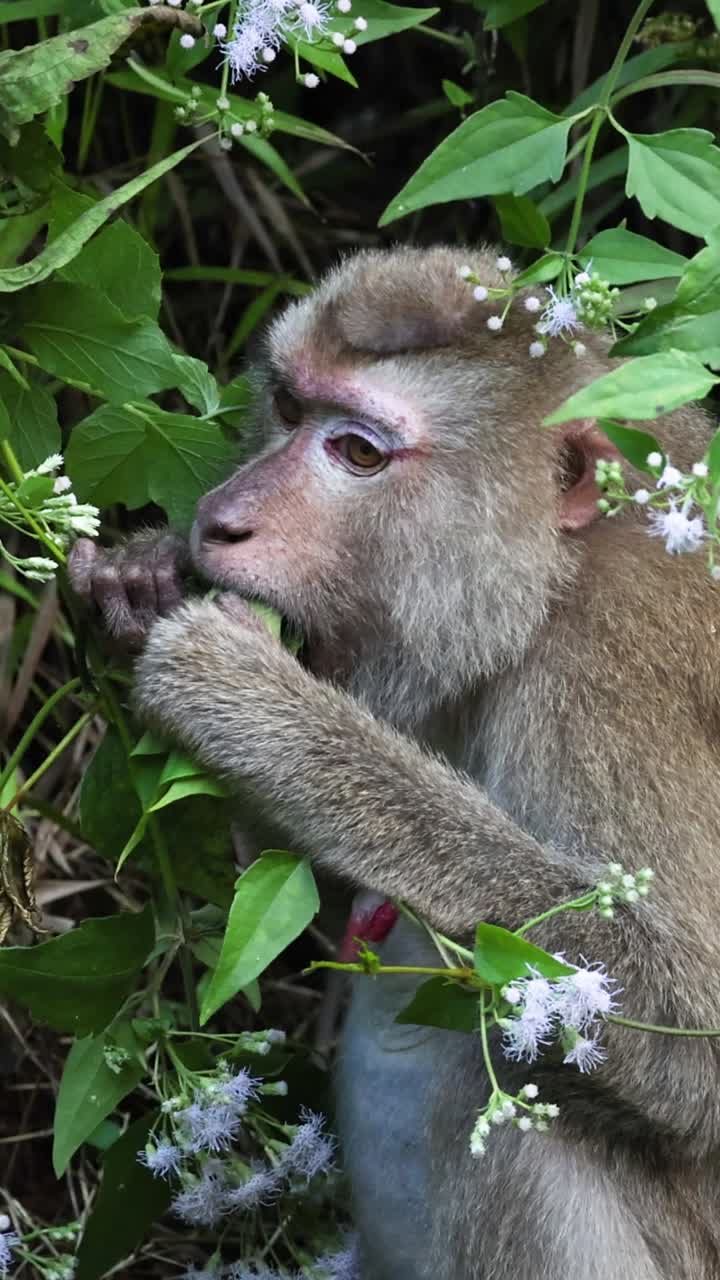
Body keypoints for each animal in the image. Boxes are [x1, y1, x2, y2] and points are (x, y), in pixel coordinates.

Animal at [69, 245, 720, 1280]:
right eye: (288, 406)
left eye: (360, 454)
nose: (219, 518)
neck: (546, 587)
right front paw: (141, 579)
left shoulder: (612, 679)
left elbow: (694, 1027)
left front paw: (262, 710)